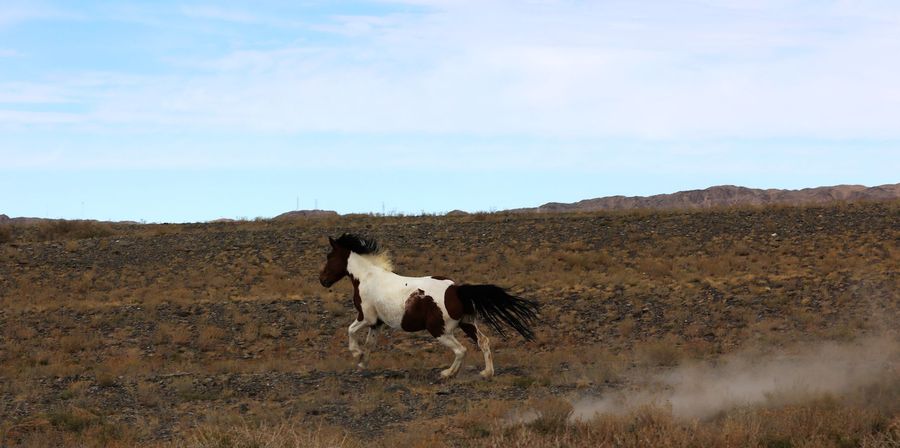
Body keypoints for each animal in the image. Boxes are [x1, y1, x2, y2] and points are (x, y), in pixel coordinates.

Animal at [320, 234, 536, 378]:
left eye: (330, 257)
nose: (322, 280)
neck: (366, 277)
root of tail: (456, 290)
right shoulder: (376, 323)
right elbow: (370, 344)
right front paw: (362, 363)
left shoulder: (366, 317)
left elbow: (350, 330)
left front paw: (356, 354)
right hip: (467, 323)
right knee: (484, 342)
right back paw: (486, 372)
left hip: (439, 330)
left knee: (461, 350)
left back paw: (447, 373)